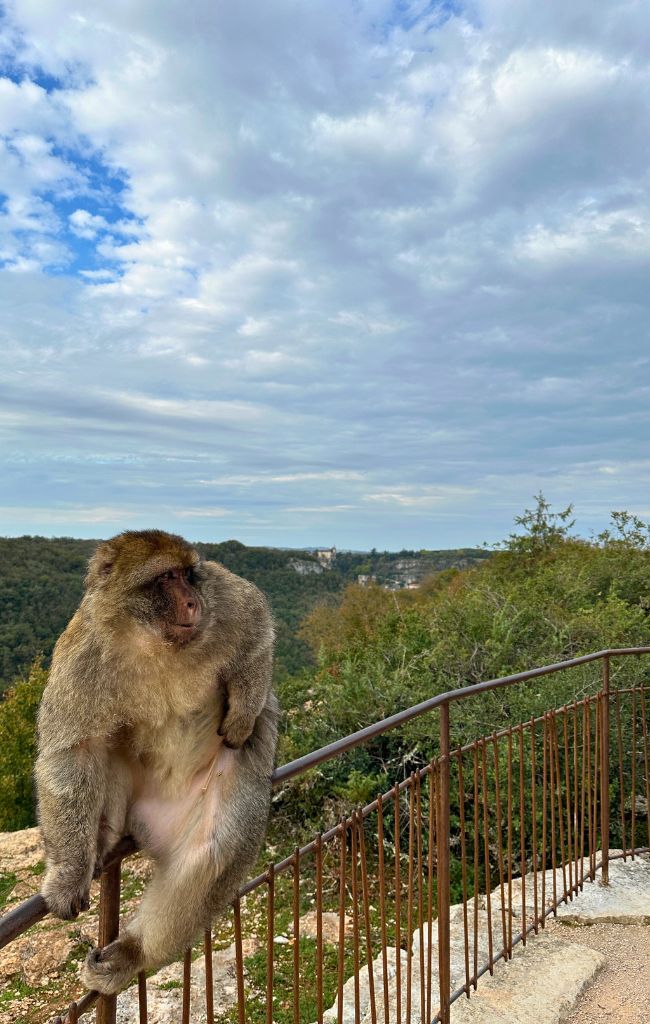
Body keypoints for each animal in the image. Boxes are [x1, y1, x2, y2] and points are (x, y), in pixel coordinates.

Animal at [34, 529, 278, 996]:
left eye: (187, 574)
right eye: (166, 578)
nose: (192, 602)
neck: (154, 643)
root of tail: (150, 826)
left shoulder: (219, 598)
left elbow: (257, 620)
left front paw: (243, 711)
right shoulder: (82, 651)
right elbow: (74, 751)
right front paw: (69, 873)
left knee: (210, 854)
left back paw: (133, 953)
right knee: (105, 745)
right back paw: (103, 836)